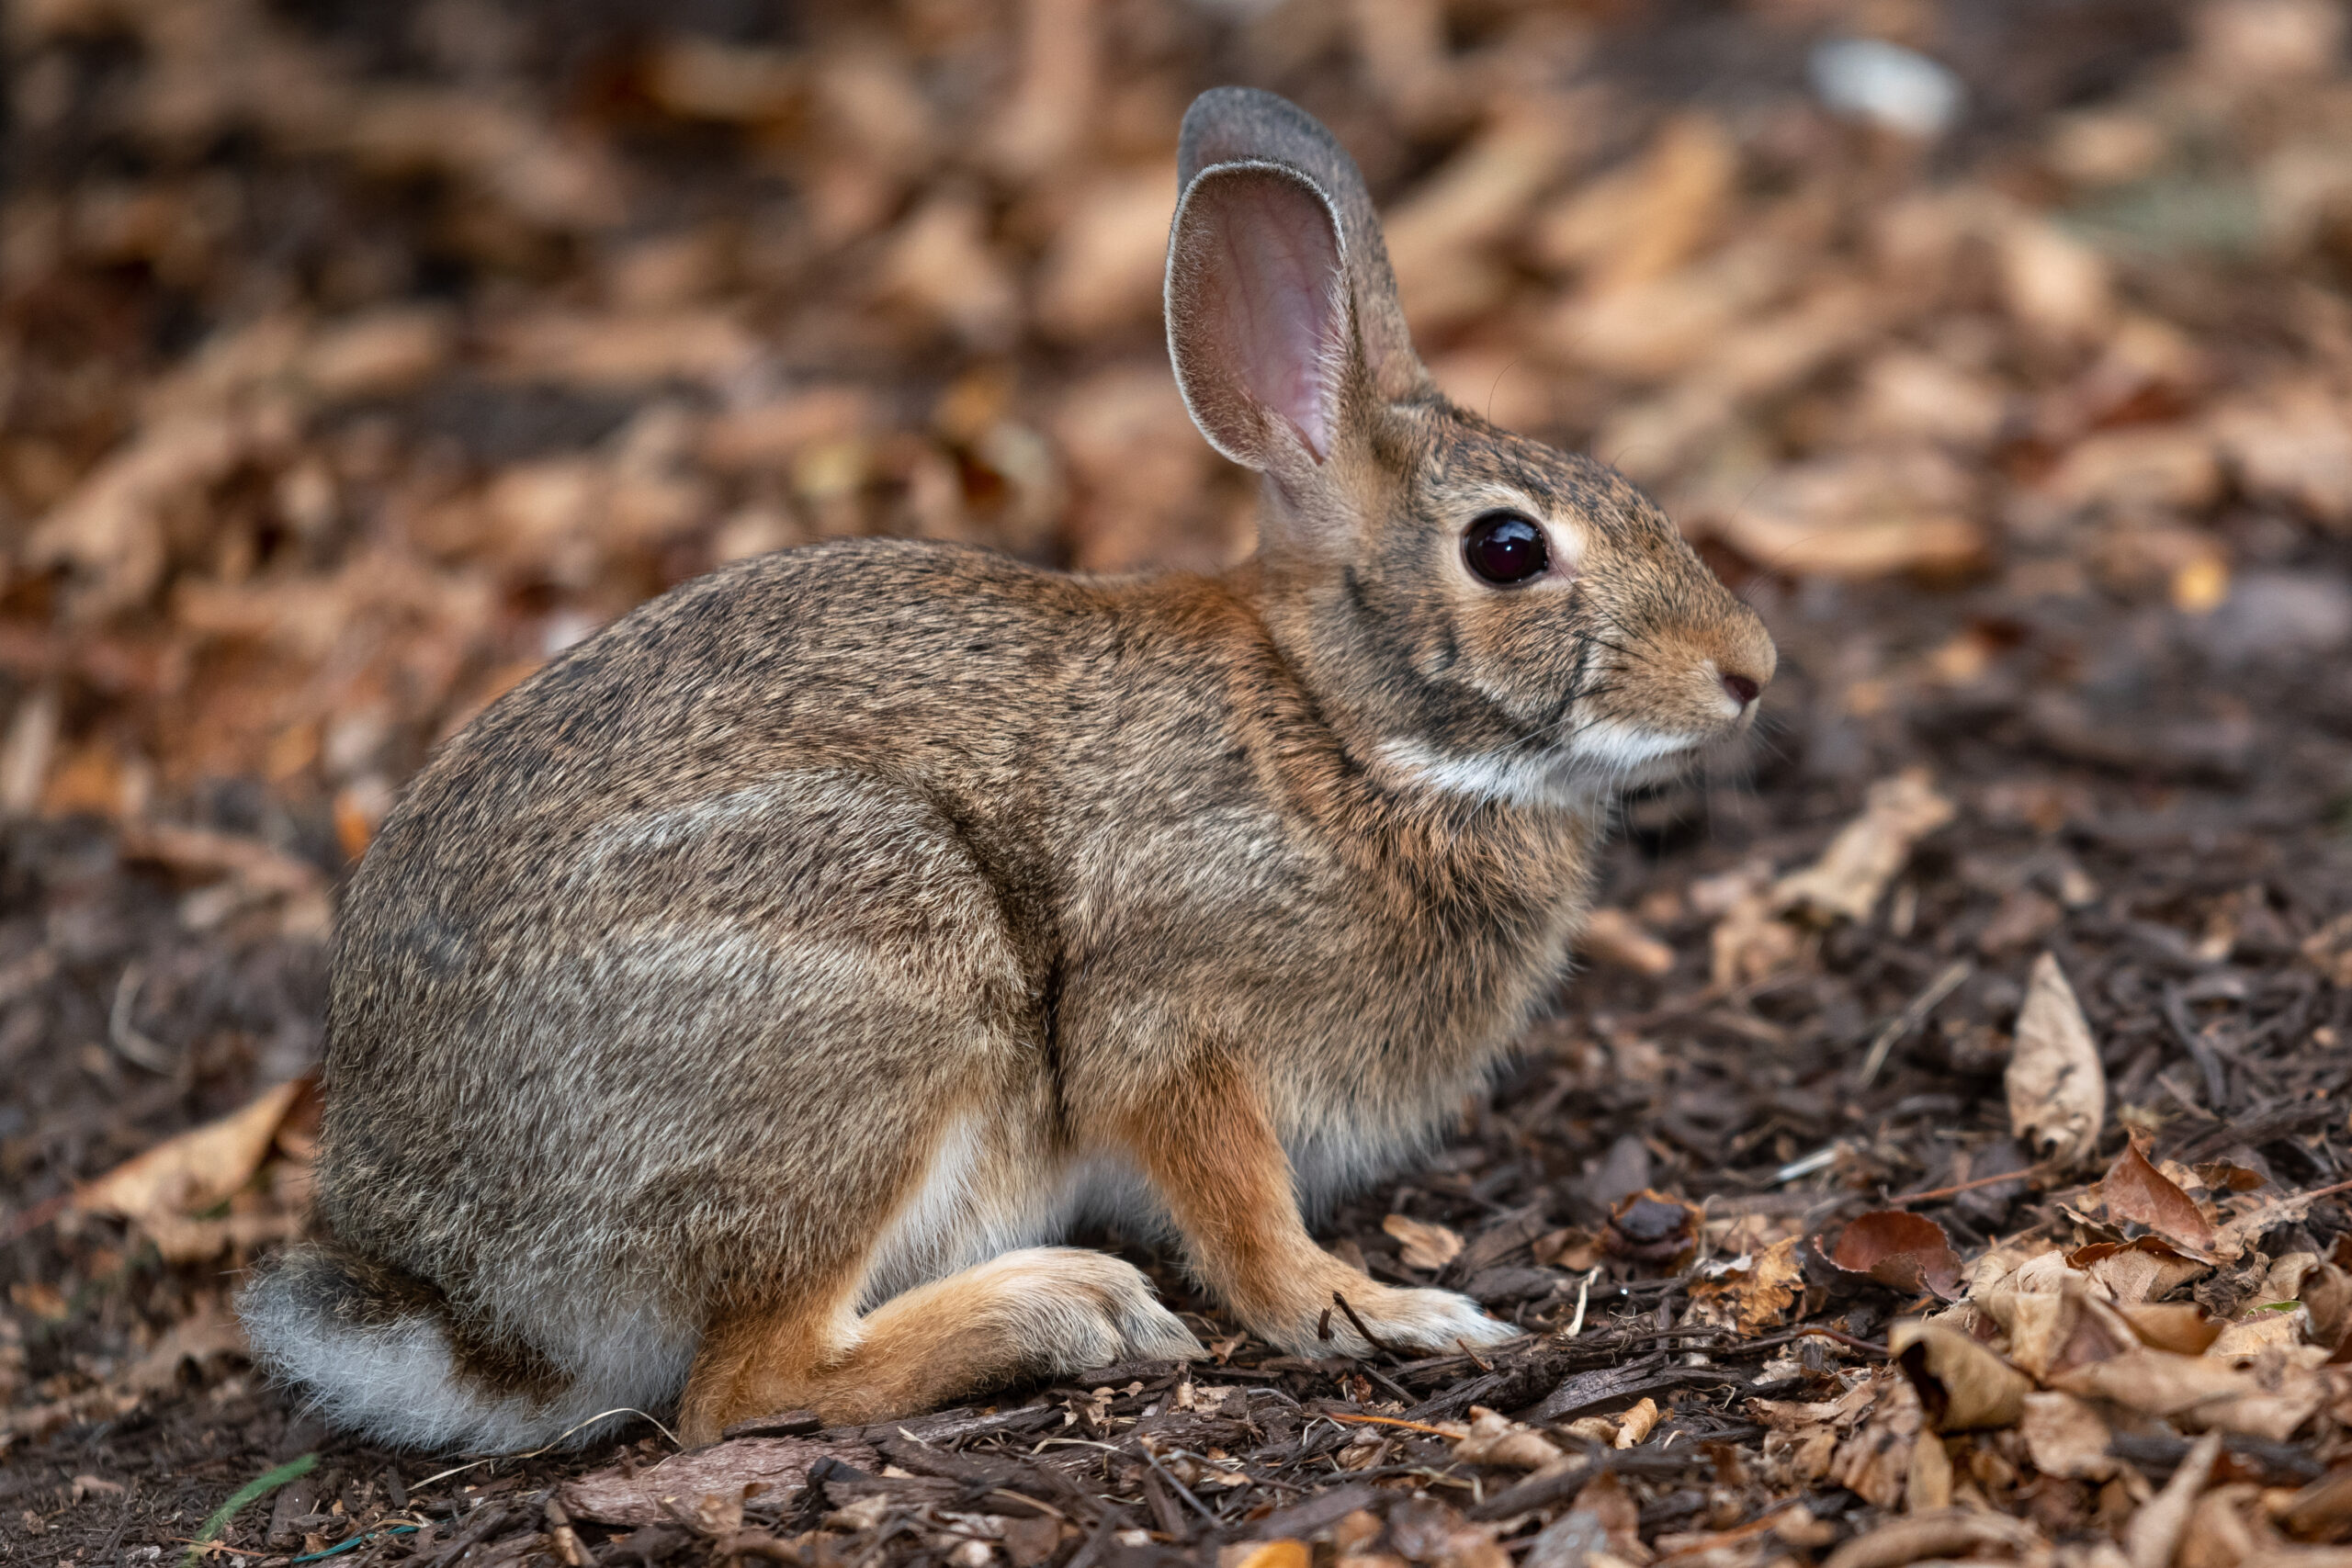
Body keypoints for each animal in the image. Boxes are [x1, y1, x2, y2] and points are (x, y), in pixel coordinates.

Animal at [243, 85, 1778, 1457]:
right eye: (1508, 549)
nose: (1750, 667)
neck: (1344, 731)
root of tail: (464, 1296)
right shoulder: (1171, 1017)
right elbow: (1248, 1221)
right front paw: (1389, 1309)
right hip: (881, 985)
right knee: (740, 1387)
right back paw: (1068, 1309)